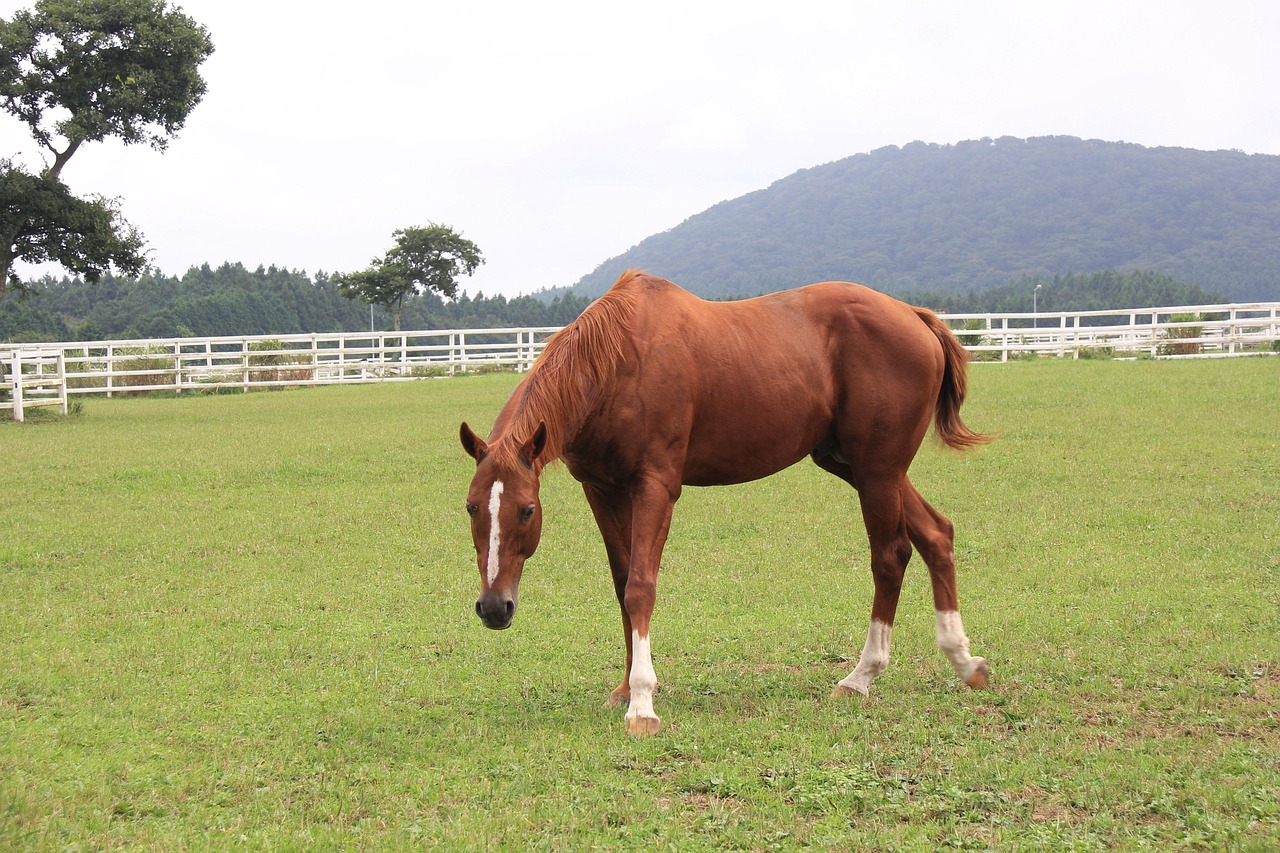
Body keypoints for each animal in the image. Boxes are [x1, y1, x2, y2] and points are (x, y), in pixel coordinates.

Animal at [458, 270, 988, 732]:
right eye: (470, 507)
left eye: (527, 510)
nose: (494, 607)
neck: (618, 361)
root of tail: (913, 315)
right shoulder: (602, 489)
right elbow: (622, 584)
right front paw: (625, 689)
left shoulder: (655, 486)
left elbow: (640, 588)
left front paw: (642, 704)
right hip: (858, 465)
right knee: (937, 534)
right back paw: (964, 661)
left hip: (878, 470)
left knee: (890, 556)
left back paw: (861, 676)